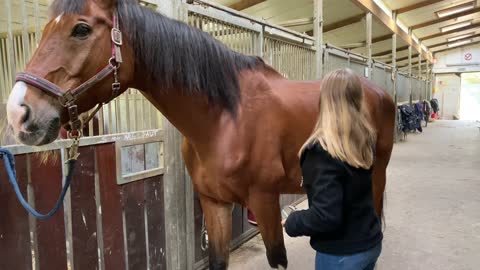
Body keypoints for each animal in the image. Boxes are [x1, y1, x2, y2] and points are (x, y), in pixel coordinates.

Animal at [5, 1, 394, 268]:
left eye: (81, 29)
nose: (18, 113)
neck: (225, 118)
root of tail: (378, 91)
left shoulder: (265, 202)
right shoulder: (213, 203)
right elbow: (218, 259)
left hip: (376, 174)